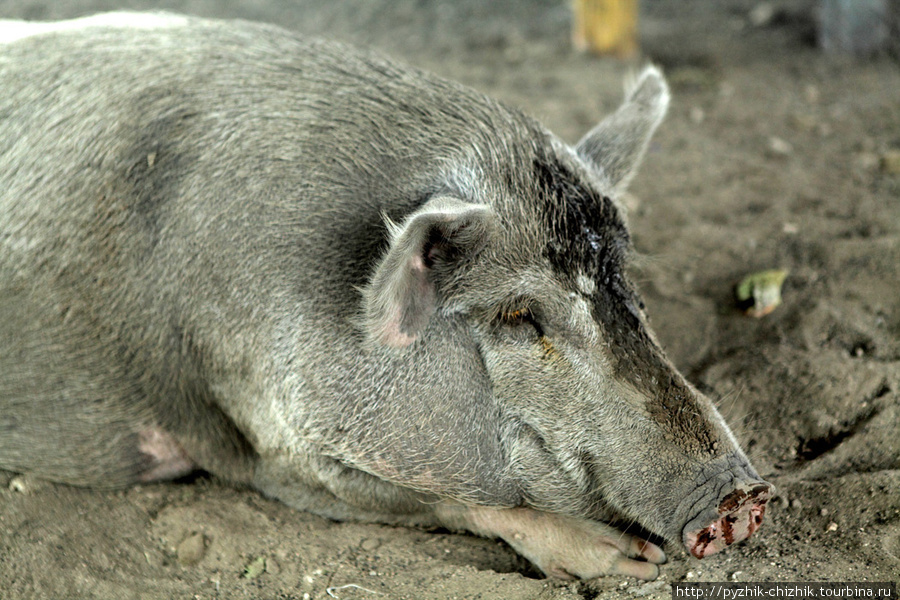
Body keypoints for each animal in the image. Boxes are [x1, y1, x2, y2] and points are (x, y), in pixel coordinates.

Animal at [1, 11, 772, 580]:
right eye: (519, 315)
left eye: (625, 283)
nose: (744, 495)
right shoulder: (256, 438)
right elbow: (452, 503)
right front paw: (630, 563)